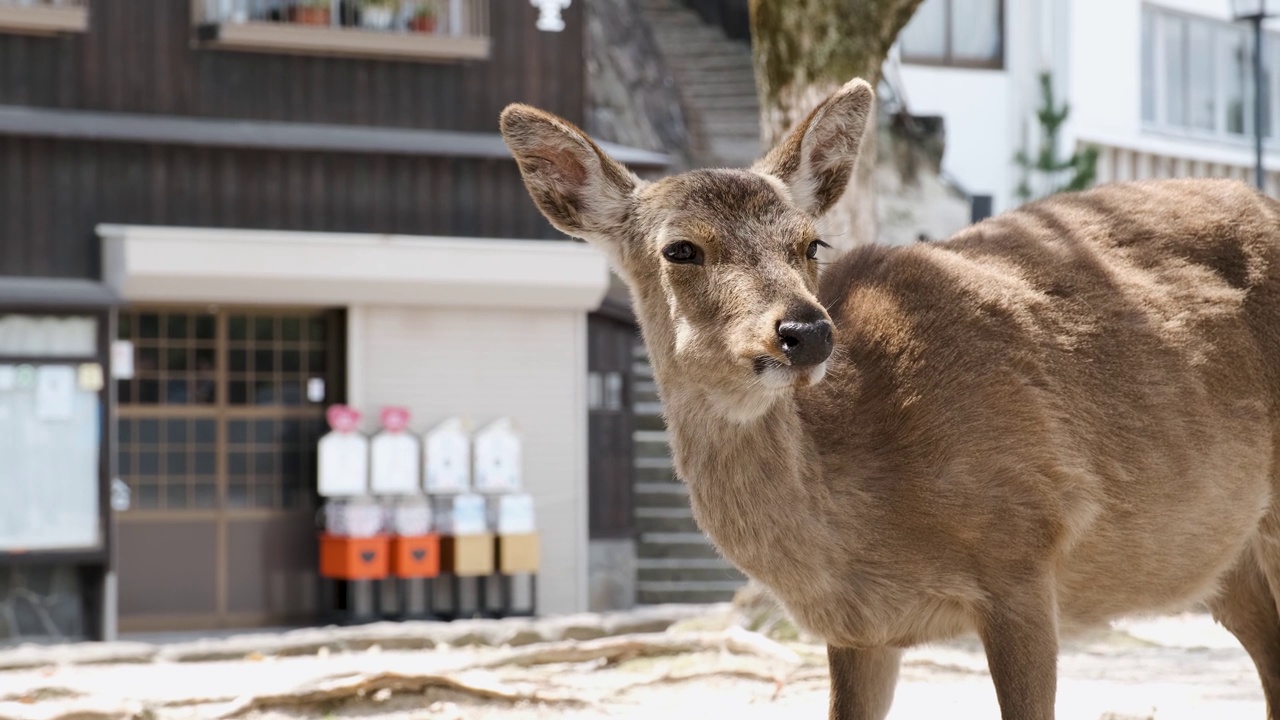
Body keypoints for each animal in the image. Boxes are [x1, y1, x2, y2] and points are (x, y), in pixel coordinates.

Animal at [496, 75, 1280, 712]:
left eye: (810, 243)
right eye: (680, 248)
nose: (806, 331)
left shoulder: (1026, 543)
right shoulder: (860, 629)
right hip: (1230, 557)